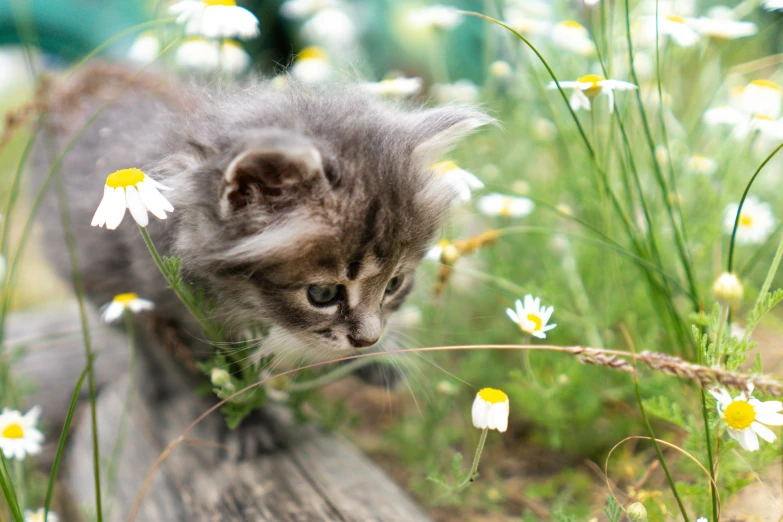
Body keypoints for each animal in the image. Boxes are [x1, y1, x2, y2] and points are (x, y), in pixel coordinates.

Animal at [38, 63, 490, 390]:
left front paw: (375, 362)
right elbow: (198, 369)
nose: (369, 340)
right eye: (322, 294)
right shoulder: (161, 305)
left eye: (395, 284)